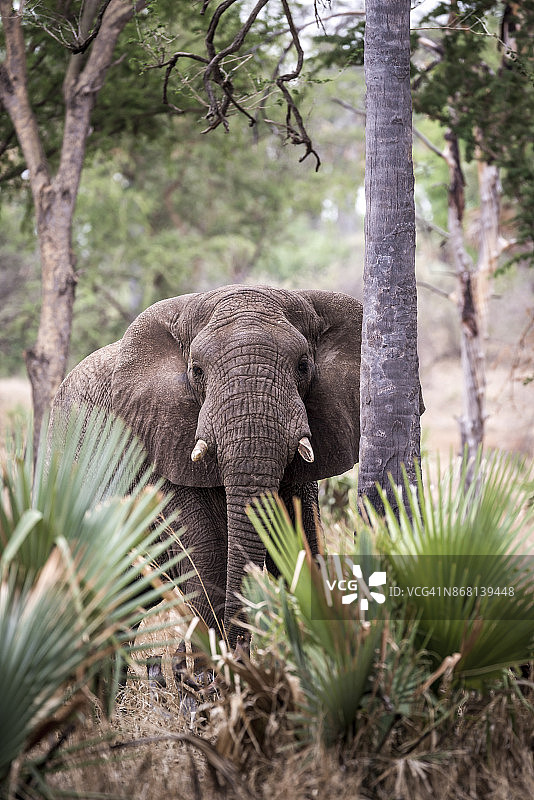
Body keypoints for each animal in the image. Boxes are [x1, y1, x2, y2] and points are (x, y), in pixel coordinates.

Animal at [50, 284, 363, 650]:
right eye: (196, 370)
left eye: (303, 366)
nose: (239, 647)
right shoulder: (157, 443)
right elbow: (207, 558)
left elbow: (303, 543)